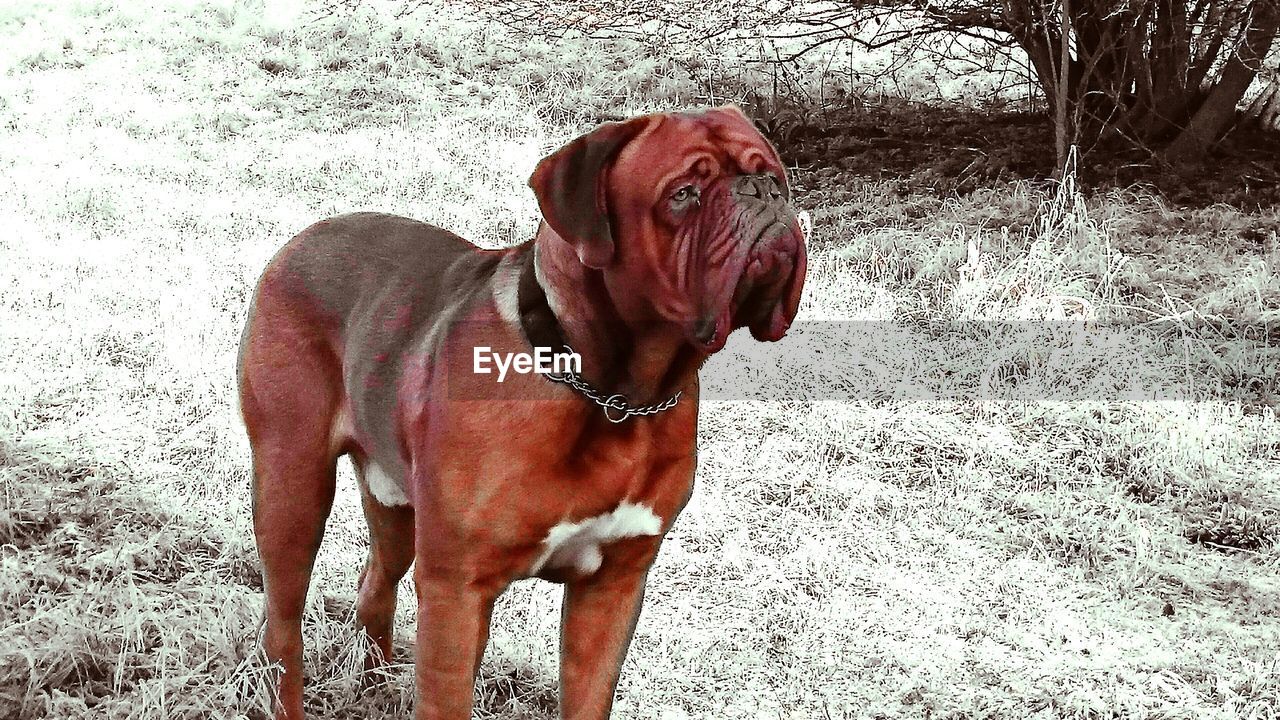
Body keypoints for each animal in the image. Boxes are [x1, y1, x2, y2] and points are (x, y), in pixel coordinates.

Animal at [235, 106, 803, 717]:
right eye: (684, 194)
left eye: (775, 175)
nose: (764, 192)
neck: (610, 394)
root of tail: (301, 239)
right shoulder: (457, 590)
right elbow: (445, 698)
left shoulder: (613, 587)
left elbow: (588, 697)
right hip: (293, 488)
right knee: (282, 626)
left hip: (394, 503)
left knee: (376, 584)